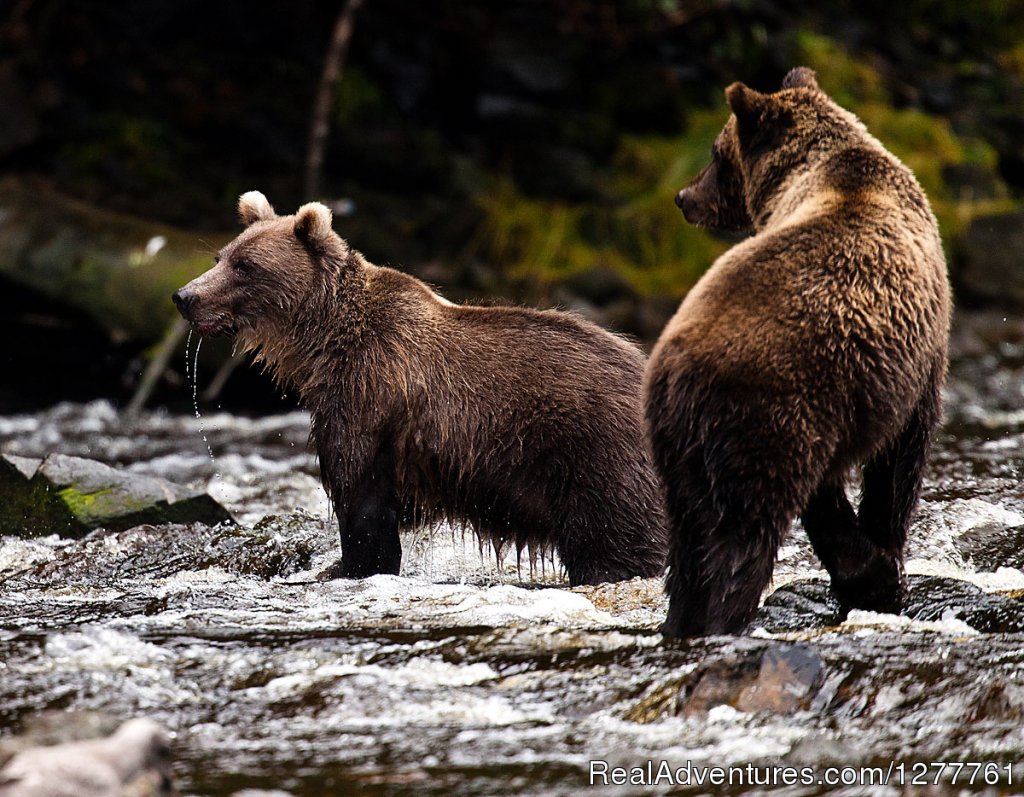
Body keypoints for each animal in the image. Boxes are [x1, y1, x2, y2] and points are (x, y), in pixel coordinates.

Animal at [172, 189, 667, 581]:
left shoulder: (368, 397)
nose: (184, 296)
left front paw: (346, 566)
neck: (322, 345)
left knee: (617, 542)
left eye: (245, 265)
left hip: (595, 455)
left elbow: (362, 502)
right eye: (220, 257)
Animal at [647, 69, 950, 639]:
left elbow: (832, 498)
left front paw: (868, 574)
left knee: (688, 537)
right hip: (764, 411)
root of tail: (676, 370)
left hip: (679, 446)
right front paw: (882, 565)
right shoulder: (905, 373)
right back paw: (728, 616)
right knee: (744, 535)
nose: (682, 196)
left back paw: (680, 619)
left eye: (715, 154)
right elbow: (897, 466)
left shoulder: (840, 406)